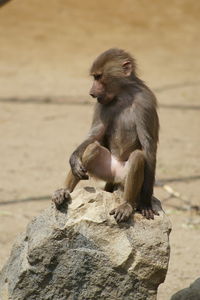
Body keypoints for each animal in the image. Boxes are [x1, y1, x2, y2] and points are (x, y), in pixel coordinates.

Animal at [52, 48, 159, 223]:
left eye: (99, 76)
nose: (91, 93)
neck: (124, 95)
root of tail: (115, 176)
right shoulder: (102, 104)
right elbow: (95, 134)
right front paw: (73, 160)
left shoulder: (146, 102)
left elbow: (149, 147)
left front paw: (145, 203)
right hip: (106, 170)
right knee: (92, 148)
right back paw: (64, 190)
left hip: (124, 178)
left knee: (137, 157)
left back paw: (126, 205)